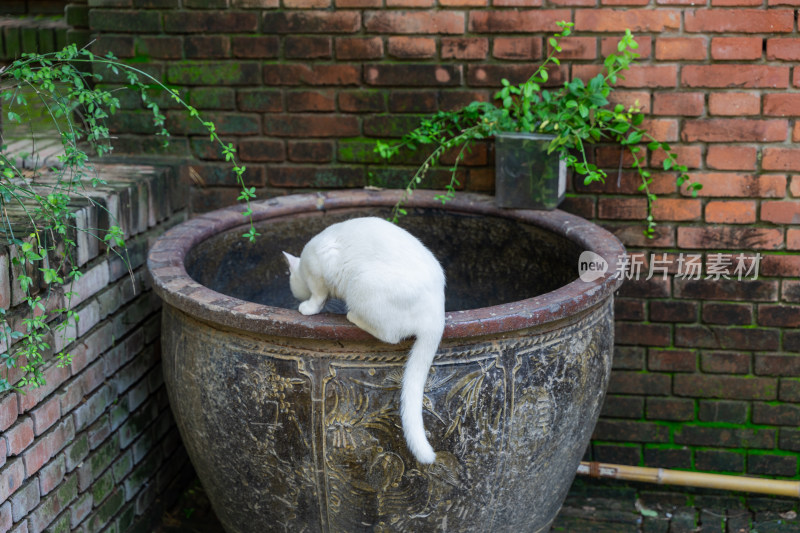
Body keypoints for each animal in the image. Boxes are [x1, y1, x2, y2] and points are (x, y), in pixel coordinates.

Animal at [282, 216, 446, 462]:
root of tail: (437, 313)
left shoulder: (319, 272)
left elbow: (318, 297)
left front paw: (308, 307)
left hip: (363, 284)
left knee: (390, 335)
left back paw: (352, 316)